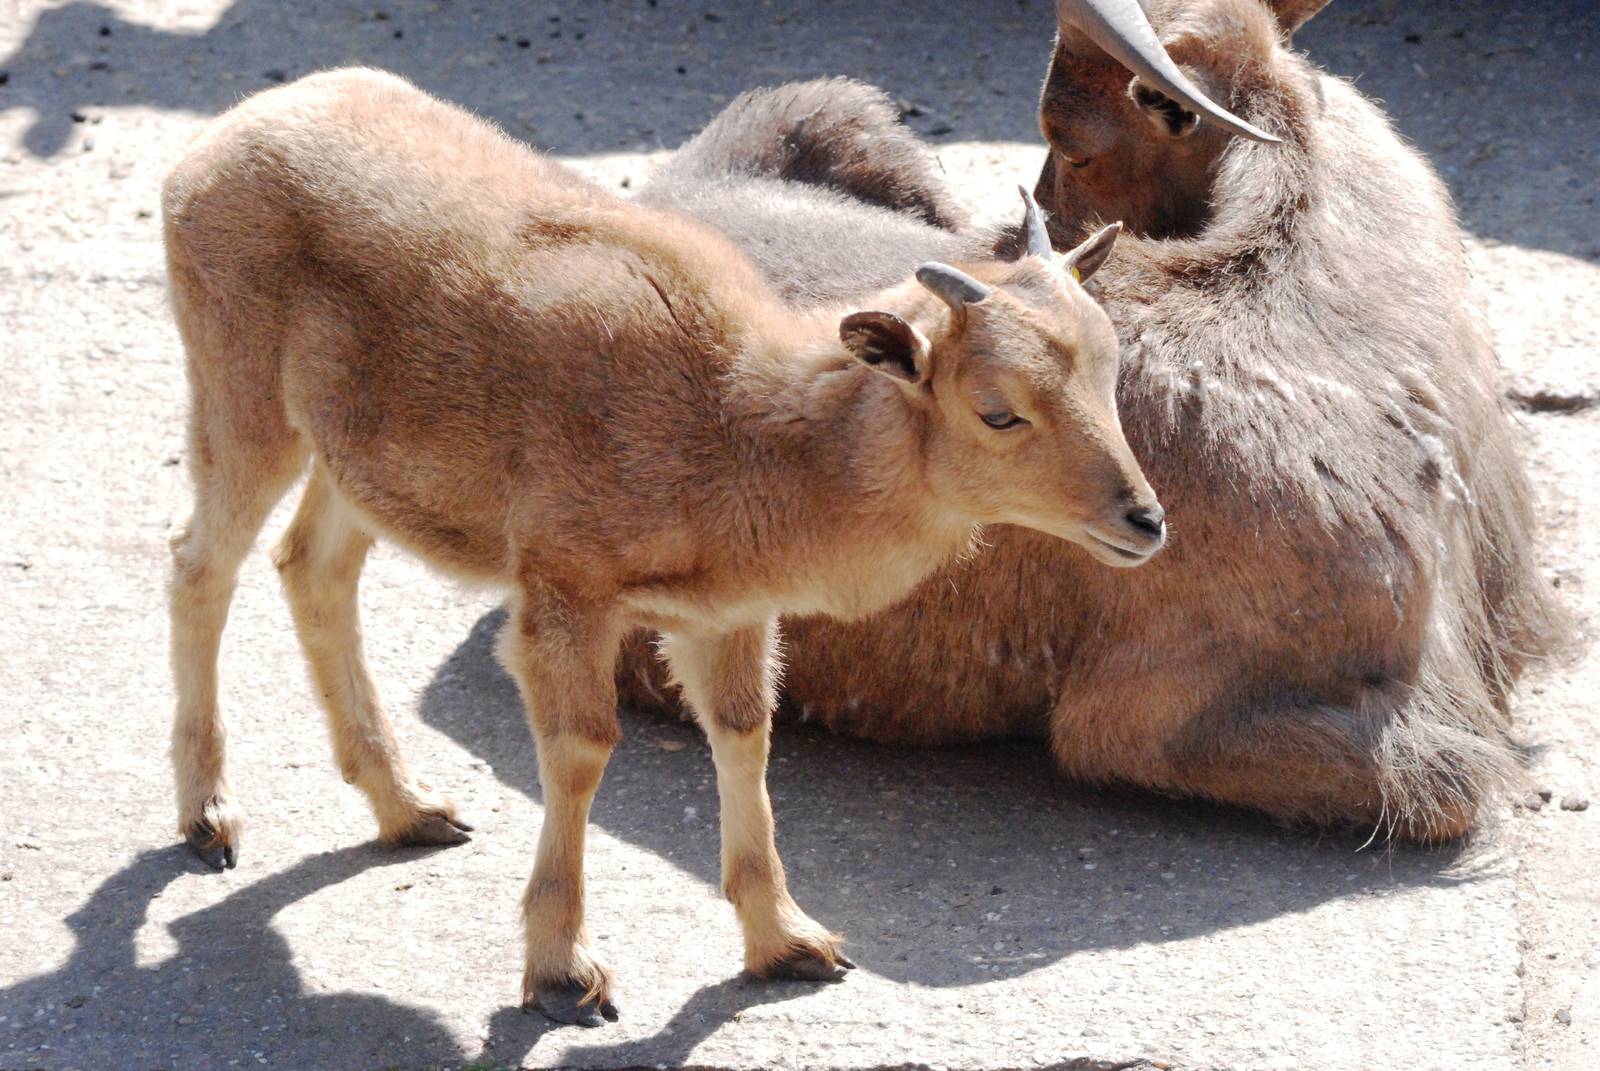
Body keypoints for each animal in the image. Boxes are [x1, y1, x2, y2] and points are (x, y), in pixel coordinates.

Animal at [162, 67, 1162, 1026]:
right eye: (998, 409)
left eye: (1109, 368)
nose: (1143, 520)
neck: (735, 422)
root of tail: (213, 148)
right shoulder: (563, 584)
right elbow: (582, 748)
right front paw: (565, 975)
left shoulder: (726, 615)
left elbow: (746, 733)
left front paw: (790, 943)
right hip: (241, 396)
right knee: (200, 562)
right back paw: (211, 819)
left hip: (351, 463)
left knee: (311, 567)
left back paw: (410, 809)